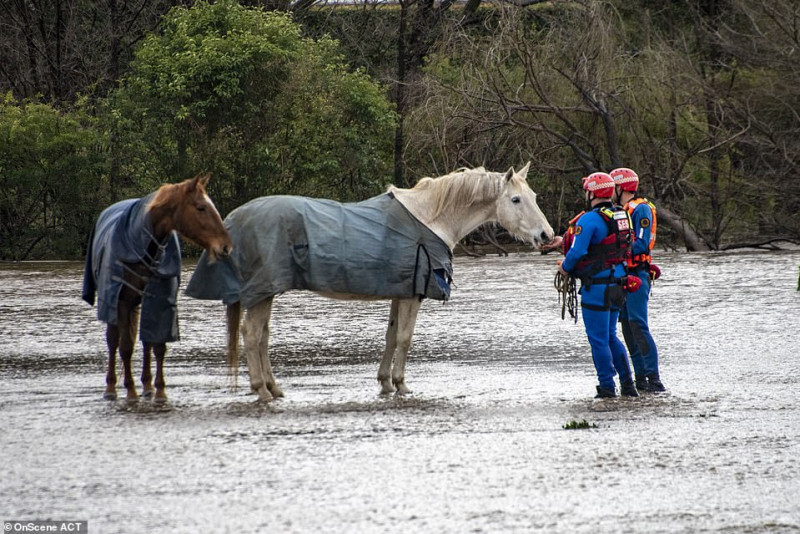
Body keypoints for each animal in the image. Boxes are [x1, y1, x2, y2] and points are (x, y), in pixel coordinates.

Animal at [82, 174, 231, 404]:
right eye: (200, 207)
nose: (225, 246)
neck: (145, 247)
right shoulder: (122, 302)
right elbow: (125, 346)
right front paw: (131, 391)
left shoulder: (161, 300)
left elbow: (158, 345)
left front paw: (159, 391)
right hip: (114, 304)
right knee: (113, 341)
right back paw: (111, 388)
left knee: (146, 342)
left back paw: (147, 386)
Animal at [219, 163, 552, 402]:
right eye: (515, 199)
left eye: (535, 197)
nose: (547, 235)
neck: (428, 219)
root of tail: (233, 218)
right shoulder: (412, 294)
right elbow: (404, 338)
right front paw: (401, 385)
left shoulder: (400, 291)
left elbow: (391, 336)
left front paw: (385, 384)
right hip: (263, 291)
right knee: (252, 335)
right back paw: (261, 390)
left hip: (266, 293)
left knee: (261, 336)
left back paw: (274, 389)